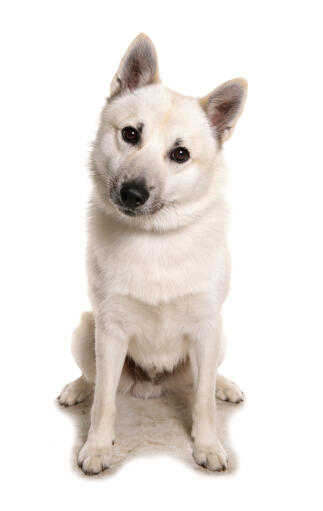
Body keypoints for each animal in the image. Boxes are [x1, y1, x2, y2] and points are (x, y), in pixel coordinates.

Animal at [58, 33, 248, 476]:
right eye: (130, 134)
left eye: (180, 154)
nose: (132, 193)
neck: (155, 239)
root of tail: (152, 386)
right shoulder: (110, 332)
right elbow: (104, 402)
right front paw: (97, 448)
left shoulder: (206, 328)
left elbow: (202, 402)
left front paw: (208, 445)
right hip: (85, 330)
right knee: (94, 380)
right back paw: (76, 389)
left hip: (220, 335)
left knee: (203, 381)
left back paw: (225, 386)